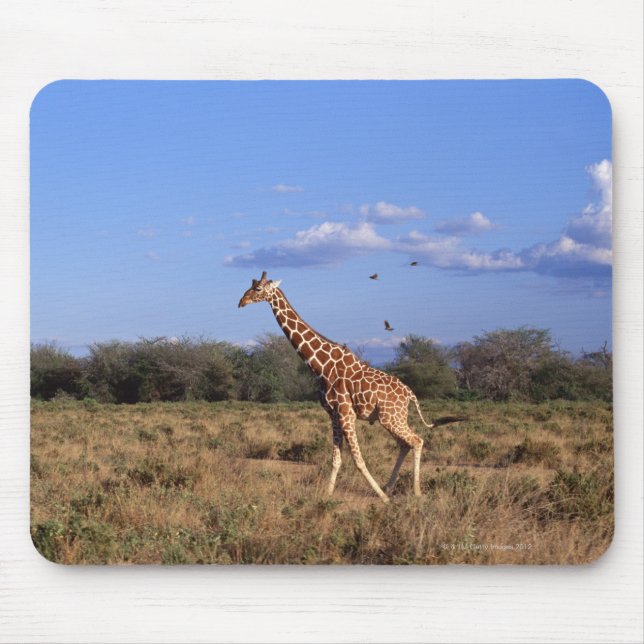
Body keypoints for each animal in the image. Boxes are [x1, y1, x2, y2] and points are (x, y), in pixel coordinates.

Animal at [238, 271, 466, 503]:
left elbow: (358, 459)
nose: (241, 302)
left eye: (258, 289)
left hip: (391, 417)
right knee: (405, 444)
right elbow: (336, 459)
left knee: (416, 440)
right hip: (391, 418)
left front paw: (381, 498)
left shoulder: (347, 413)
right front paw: (327, 495)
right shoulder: (333, 414)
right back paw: (389, 486)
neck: (321, 367)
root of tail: (410, 394)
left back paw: (414, 492)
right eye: (250, 285)